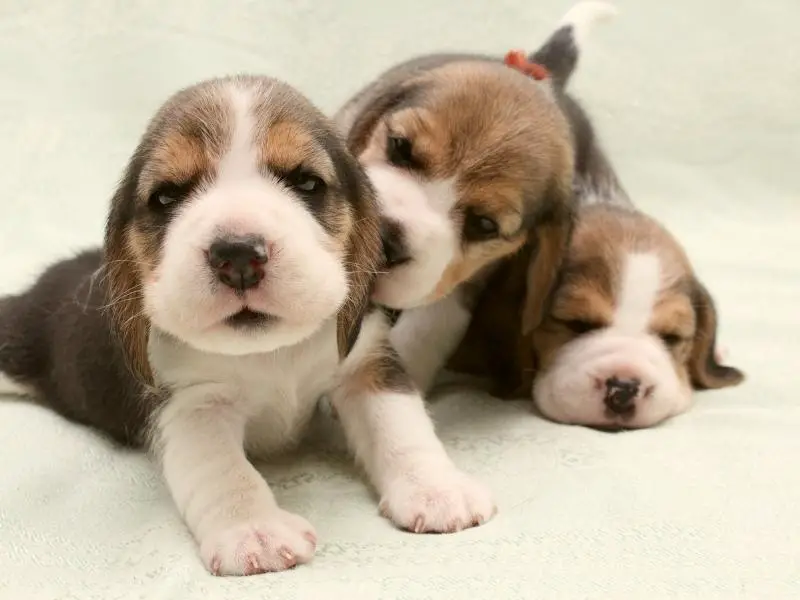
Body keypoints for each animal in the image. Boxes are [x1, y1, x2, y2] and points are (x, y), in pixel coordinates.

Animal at [0, 75, 496, 576]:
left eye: (306, 182)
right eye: (166, 196)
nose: (237, 254)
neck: (270, 352)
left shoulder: (365, 366)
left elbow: (402, 426)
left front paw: (436, 489)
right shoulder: (193, 406)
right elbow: (224, 472)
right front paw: (255, 531)